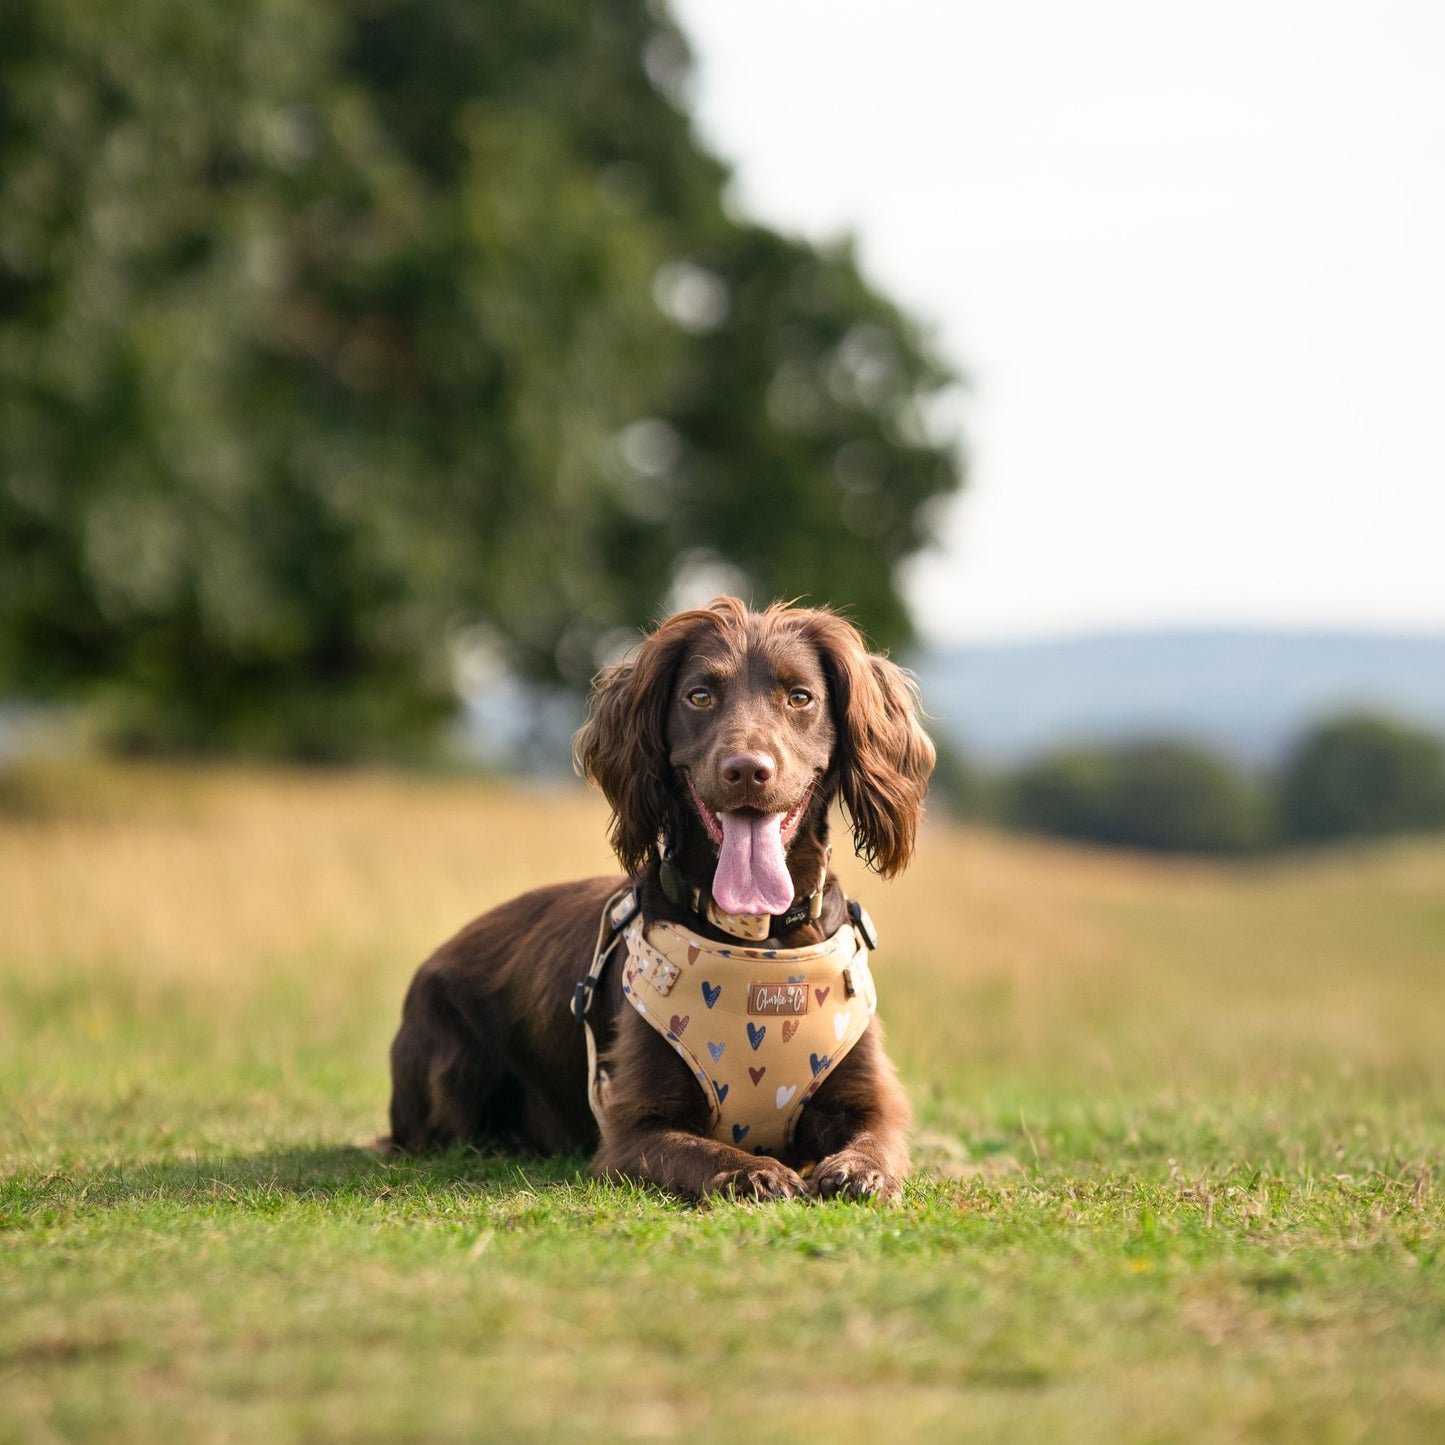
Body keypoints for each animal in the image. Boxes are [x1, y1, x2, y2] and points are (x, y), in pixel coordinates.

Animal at [384, 595, 930, 1196]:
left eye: (800, 697)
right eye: (700, 696)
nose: (747, 771)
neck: (761, 937)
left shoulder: (869, 1100)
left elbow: (876, 1138)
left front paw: (860, 1171)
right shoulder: (634, 1131)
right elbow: (705, 1152)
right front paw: (758, 1172)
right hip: (447, 1055)